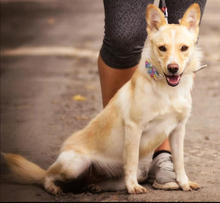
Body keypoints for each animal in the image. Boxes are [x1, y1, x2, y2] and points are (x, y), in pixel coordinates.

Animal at [1, 3, 203, 195]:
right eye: (162, 48)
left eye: (184, 48)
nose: (173, 68)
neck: (168, 90)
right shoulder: (134, 128)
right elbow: (130, 162)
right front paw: (133, 187)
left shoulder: (178, 129)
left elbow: (179, 162)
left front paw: (184, 183)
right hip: (74, 164)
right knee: (47, 176)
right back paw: (53, 188)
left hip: (128, 172)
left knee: (92, 182)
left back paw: (94, 187)